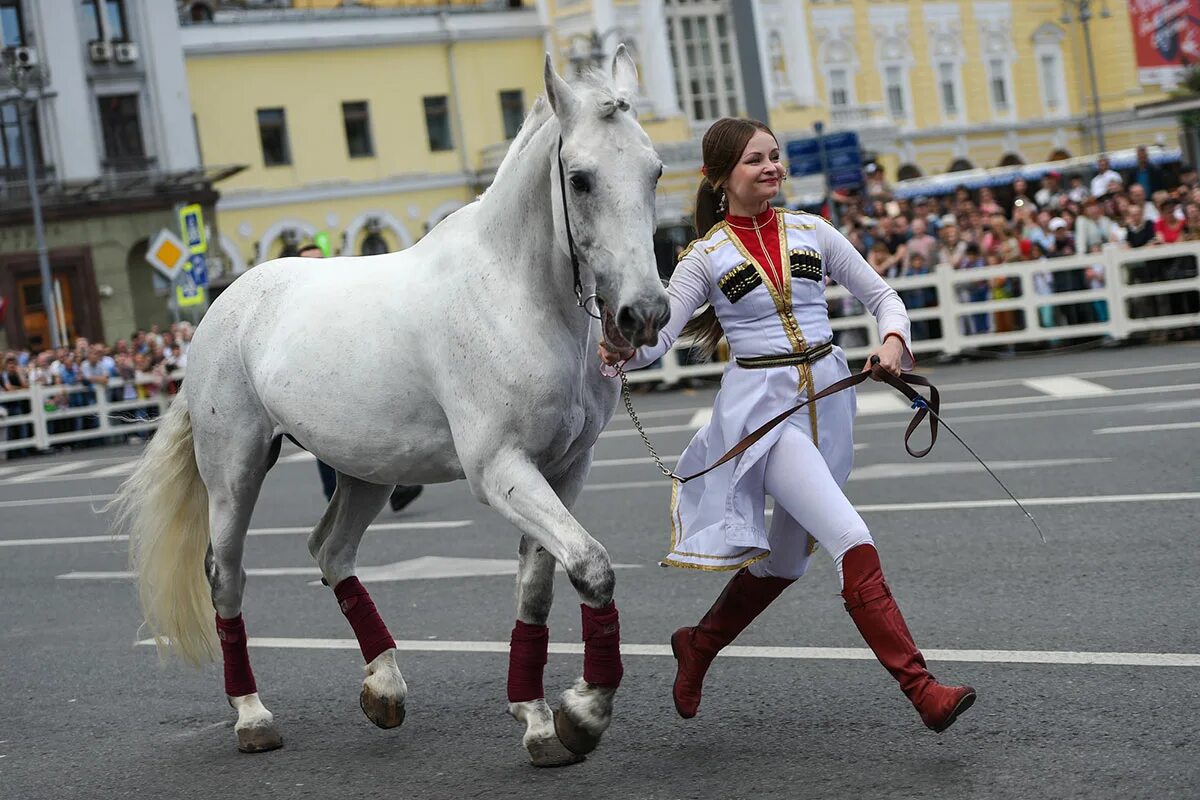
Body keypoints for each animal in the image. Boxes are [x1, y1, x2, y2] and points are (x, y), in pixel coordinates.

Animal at [110, 47, 667, 767]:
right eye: (581, 178)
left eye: (655, 170)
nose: (644, 314)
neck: (515, 294)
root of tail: (222, 306)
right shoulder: (500, 470)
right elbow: (593, 569)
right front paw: (583, 712)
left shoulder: (565, 469)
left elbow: (541, 585)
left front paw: (540, 722)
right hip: (234, 473)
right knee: (226, 577)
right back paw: (253, 716)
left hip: (367, 472)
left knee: (330, 551)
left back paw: (384, 687)